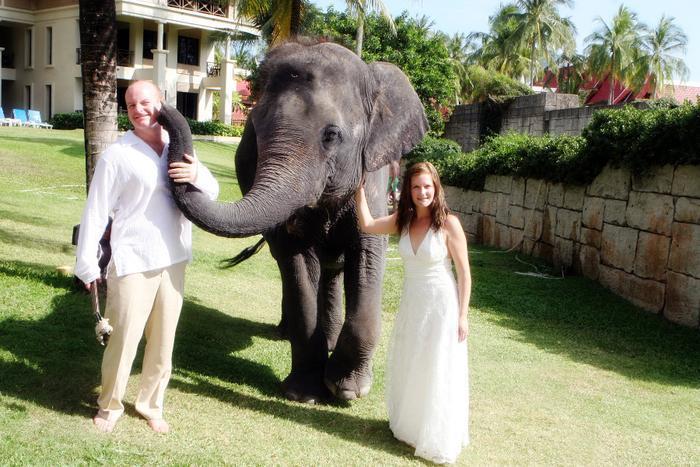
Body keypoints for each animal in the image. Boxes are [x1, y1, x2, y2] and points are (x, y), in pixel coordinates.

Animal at [160, 42, 426, 404]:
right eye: (255, 134)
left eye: (332, 135)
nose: (160, 108)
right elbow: (296, 260)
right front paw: (303, 394)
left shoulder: (373, 180)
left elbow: (368, 254)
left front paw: (346, 389)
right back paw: (286, 334)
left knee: (333, 269)